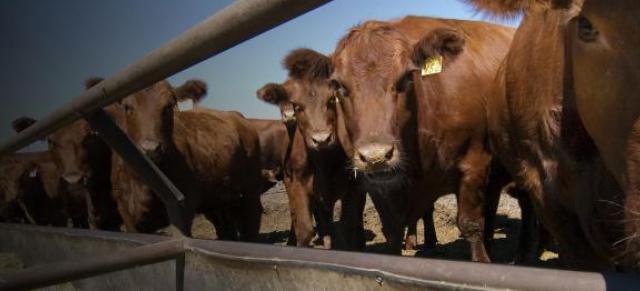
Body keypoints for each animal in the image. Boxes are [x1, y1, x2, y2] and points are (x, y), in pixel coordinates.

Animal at [114, 78, 264, 242]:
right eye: (127, 107)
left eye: (169, 105)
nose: (151, 148)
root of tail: (236, 116)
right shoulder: (128, 217)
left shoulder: (184, 208)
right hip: (221, 195)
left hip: (250, 187)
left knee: (252, 220)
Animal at [256, 49, 364, 250]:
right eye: (297, 106)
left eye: (331, 100)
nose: (321, 139)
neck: (324, 163)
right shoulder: (296, 184)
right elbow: (305, 230)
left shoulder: (352, 187)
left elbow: (348, 227)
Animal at [330, 16, 516, 262]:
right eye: (338, 85)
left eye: (407, 77)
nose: (376, 156)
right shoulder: (375, 184)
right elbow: (392, 231)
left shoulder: (474, 163)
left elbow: (471, 224)